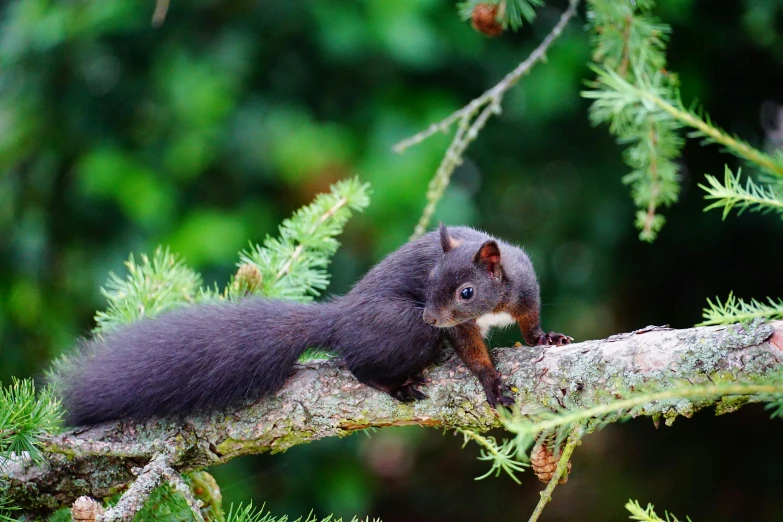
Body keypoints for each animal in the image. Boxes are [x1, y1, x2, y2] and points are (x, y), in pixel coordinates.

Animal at [59, 222, 568, 422]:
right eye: (428, 281)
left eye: (466, 291)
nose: (429, 313)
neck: (492, 305)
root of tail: (341, 316)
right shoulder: (456, 327)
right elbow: (471, 351)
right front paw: (491, 381)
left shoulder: (526, 291)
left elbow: (529, 325)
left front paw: (547, 337)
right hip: (402, 330)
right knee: (358, 366)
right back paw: (397, 386)